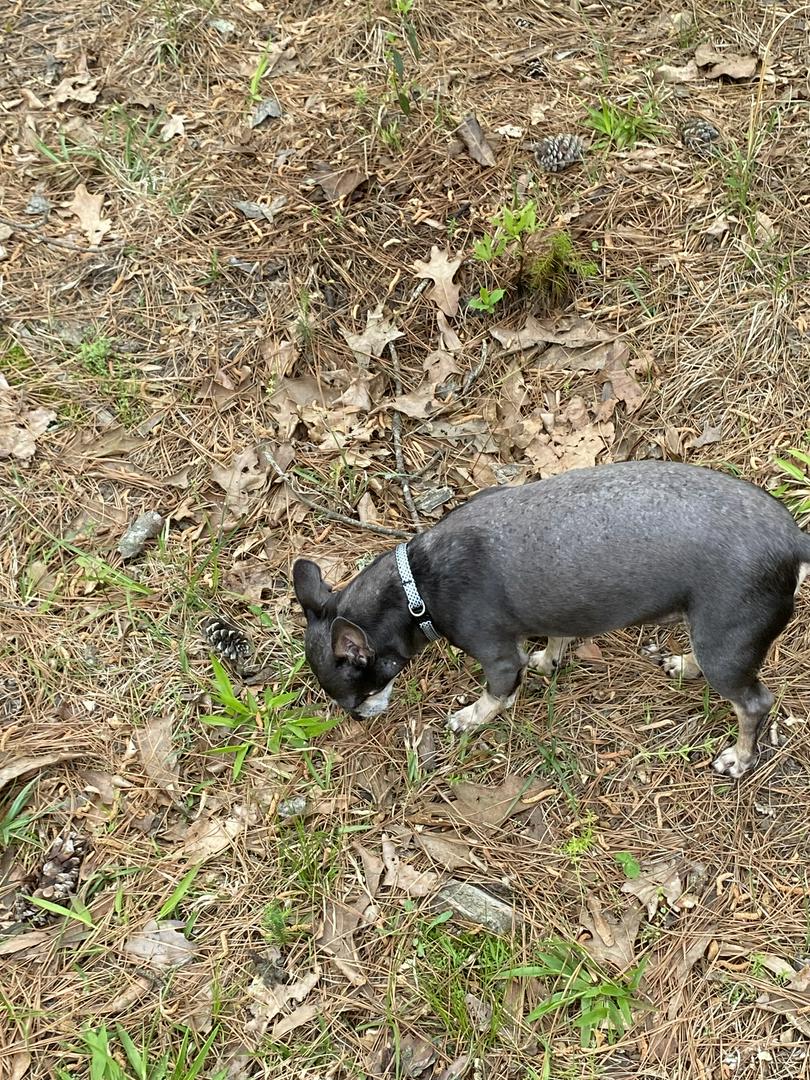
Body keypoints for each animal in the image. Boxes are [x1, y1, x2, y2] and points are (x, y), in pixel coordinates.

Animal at [293, 461, 810, 779]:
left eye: (358, 696)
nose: (359, 717)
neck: (417, 583)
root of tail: (793, 541)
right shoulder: (555, 612)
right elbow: (556, 637)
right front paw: (548, 659)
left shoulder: (498, 659)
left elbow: (495, 695)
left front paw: (472, 717)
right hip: (711, 633)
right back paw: (684, 665)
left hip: (726, 641)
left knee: (754, 704)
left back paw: (739, 758)